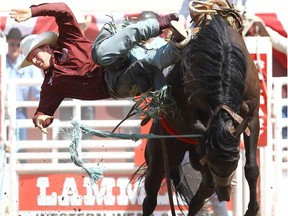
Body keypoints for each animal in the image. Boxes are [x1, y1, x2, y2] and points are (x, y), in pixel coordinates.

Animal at [140, 5, 260, 215]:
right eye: (212, 162)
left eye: (235, 160)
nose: (224, 195)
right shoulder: (195, 122)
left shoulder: (252, 116)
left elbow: (251, 169)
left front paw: (252, 209)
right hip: (161, 154)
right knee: (151, 196)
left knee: (202, 193)